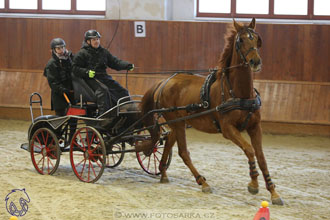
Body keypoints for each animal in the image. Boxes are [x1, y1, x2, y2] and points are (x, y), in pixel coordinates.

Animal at [140, 18, 284, 205]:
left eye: (256, 39)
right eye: (241, 40)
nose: (255, 61)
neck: (238, 93)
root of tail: (164, 81)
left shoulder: (255, 127)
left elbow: (261, 158)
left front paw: (273, 192)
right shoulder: (228, 129)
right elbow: (249, 150)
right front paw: (253, 184)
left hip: (179, 122)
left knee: (170, 141)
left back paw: (163, 173)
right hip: (177, 122)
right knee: (183, 152)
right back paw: (202, 182)